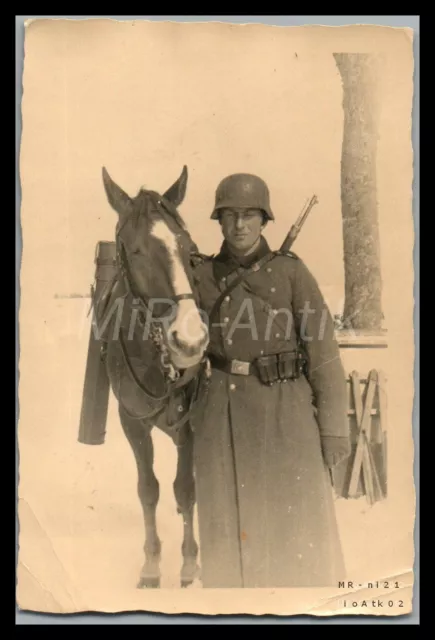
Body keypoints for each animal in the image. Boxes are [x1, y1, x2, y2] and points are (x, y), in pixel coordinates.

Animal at [95, 166, 211, 592]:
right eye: (134, 249)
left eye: (187, 247)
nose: (189, 340)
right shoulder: (132, 422)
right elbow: (149, 490)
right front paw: (151, 564)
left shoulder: (190, 424)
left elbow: (186, 489)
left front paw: (190, 564)